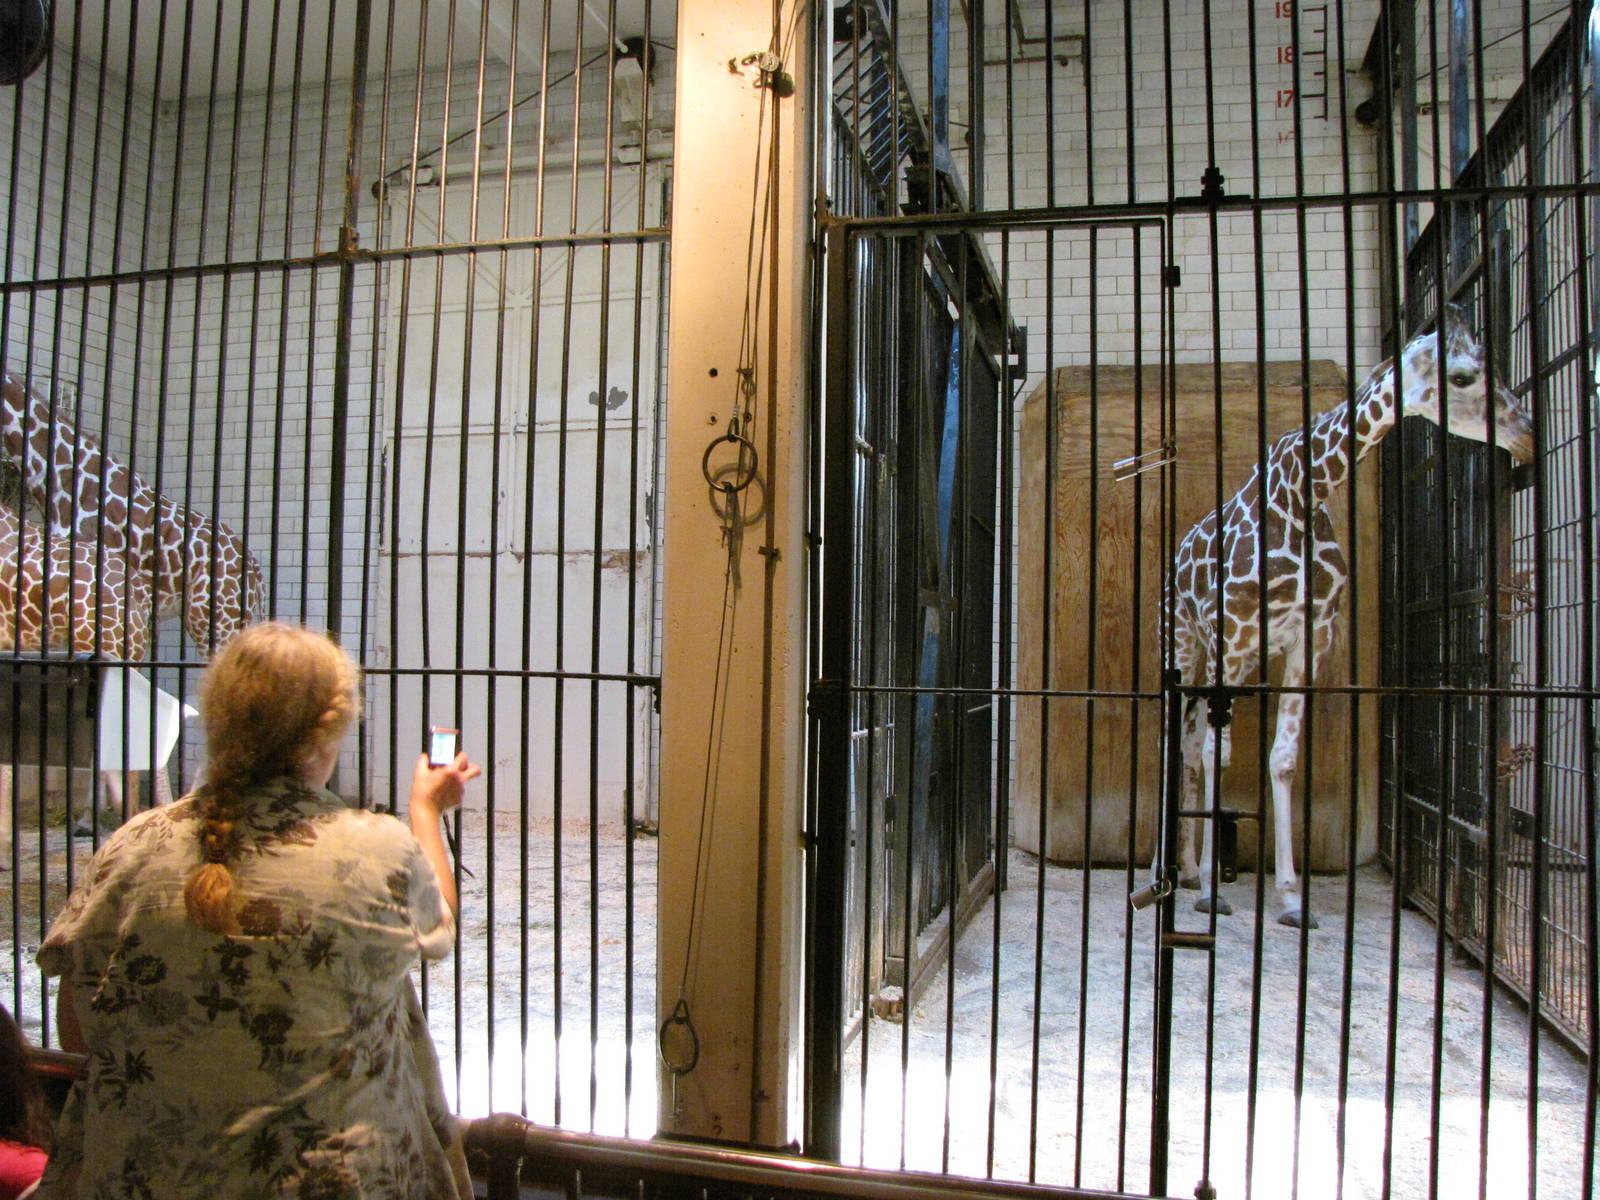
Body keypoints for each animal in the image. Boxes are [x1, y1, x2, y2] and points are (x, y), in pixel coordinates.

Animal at [1166, 307, 1535, 928]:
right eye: (1462, 377)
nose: (1528, 434)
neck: (1301, 496)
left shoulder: (1310, 639)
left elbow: (1283, 759)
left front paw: (1291, 897)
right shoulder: (1232, 636)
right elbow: (1222, 755)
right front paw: (1213, 892)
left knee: (1191, 743)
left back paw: (1188, 868)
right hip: (1188, 646)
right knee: (1178, 740)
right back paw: (1170, 872)